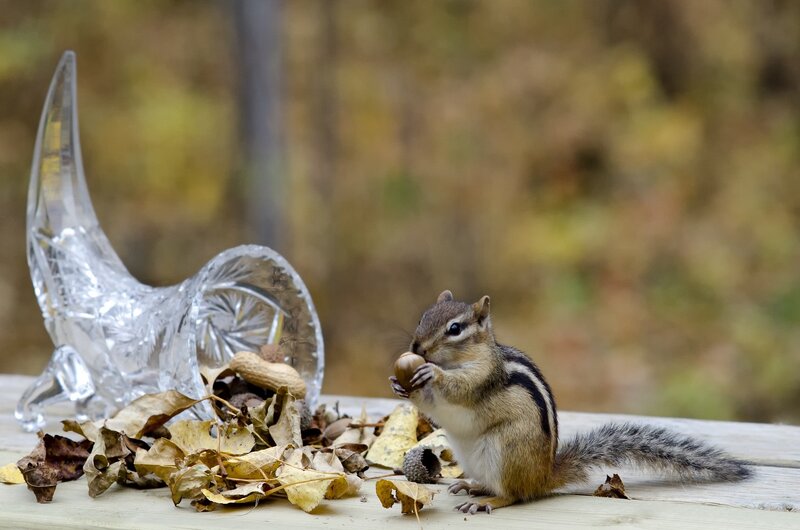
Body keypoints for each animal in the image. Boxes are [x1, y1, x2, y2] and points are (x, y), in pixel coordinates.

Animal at [389, 290, 752, 514]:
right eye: (423, 316)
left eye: (455, 328)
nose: (417, 347)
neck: (467, 358)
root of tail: (543, 476)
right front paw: (400, 384)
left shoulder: (483, 378)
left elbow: (458, 389)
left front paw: (432, 374)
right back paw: (473, 486)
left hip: (505, 451)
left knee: (514, 494)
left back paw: (487, 499)